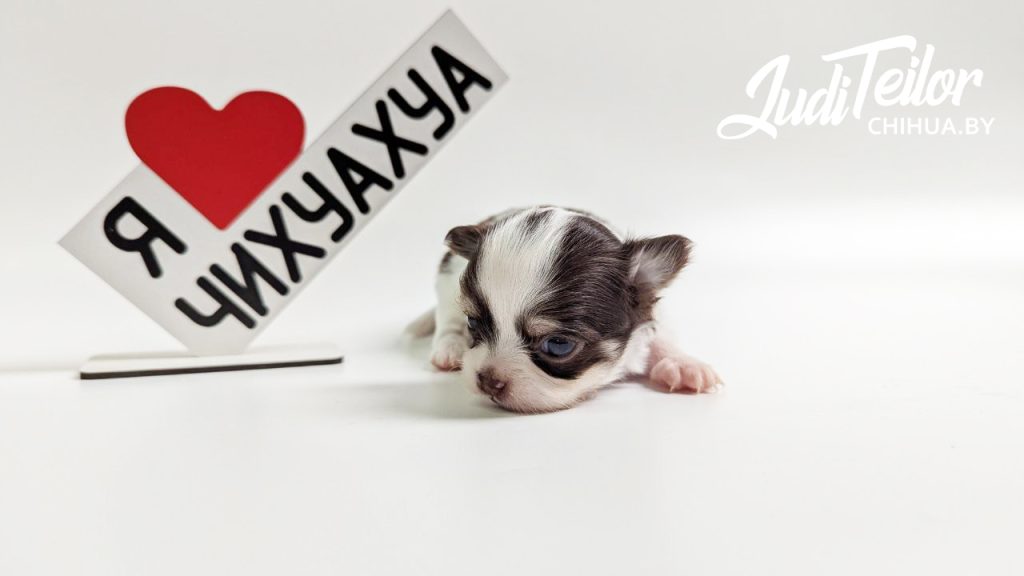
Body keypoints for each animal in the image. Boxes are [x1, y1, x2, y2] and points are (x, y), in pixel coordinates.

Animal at [406, 206, 721, 413]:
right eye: (472, 323)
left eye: (558, 345)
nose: (488, 381)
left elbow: (662, 336)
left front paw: (683, 364)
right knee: (445, 318)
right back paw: (449, 347)